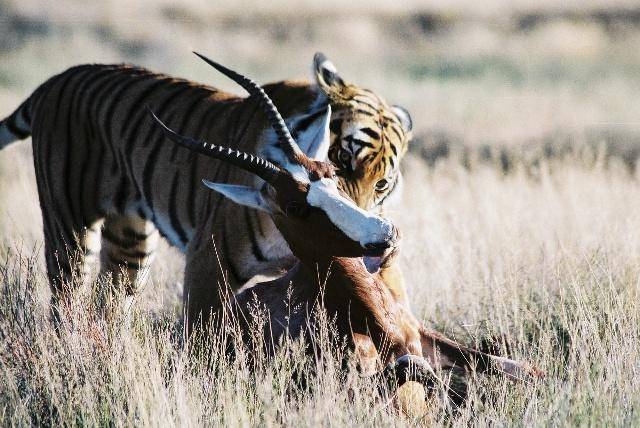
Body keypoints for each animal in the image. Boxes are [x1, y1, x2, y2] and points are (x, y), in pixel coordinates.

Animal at [0, 52, 412, 328]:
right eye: (294, 206)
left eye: (331, 175)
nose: (386, 235)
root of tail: (57, 80)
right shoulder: (206, 270)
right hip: (70, 232)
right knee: (65, 304)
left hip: (131, 246)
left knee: (109, 305)